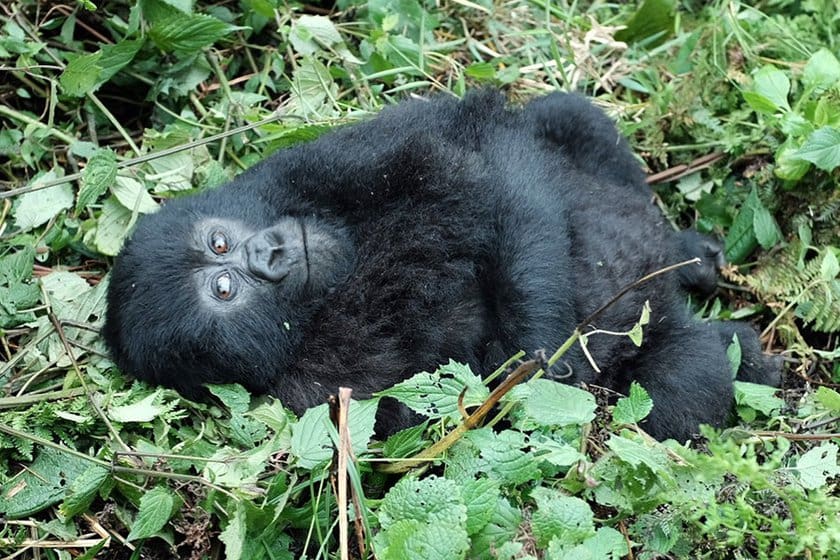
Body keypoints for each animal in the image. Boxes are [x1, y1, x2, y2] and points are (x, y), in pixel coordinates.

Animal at [105, 91, 780, 442]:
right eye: (225, 289)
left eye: (219, 245)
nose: (267, 255)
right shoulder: (324, 395)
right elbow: (488, 398)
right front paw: (544, 362)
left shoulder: (302, 168)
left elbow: (484, 158)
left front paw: (543, 338)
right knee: (673, 394)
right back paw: (736, 347)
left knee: (567, 117)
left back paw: (689, 256)